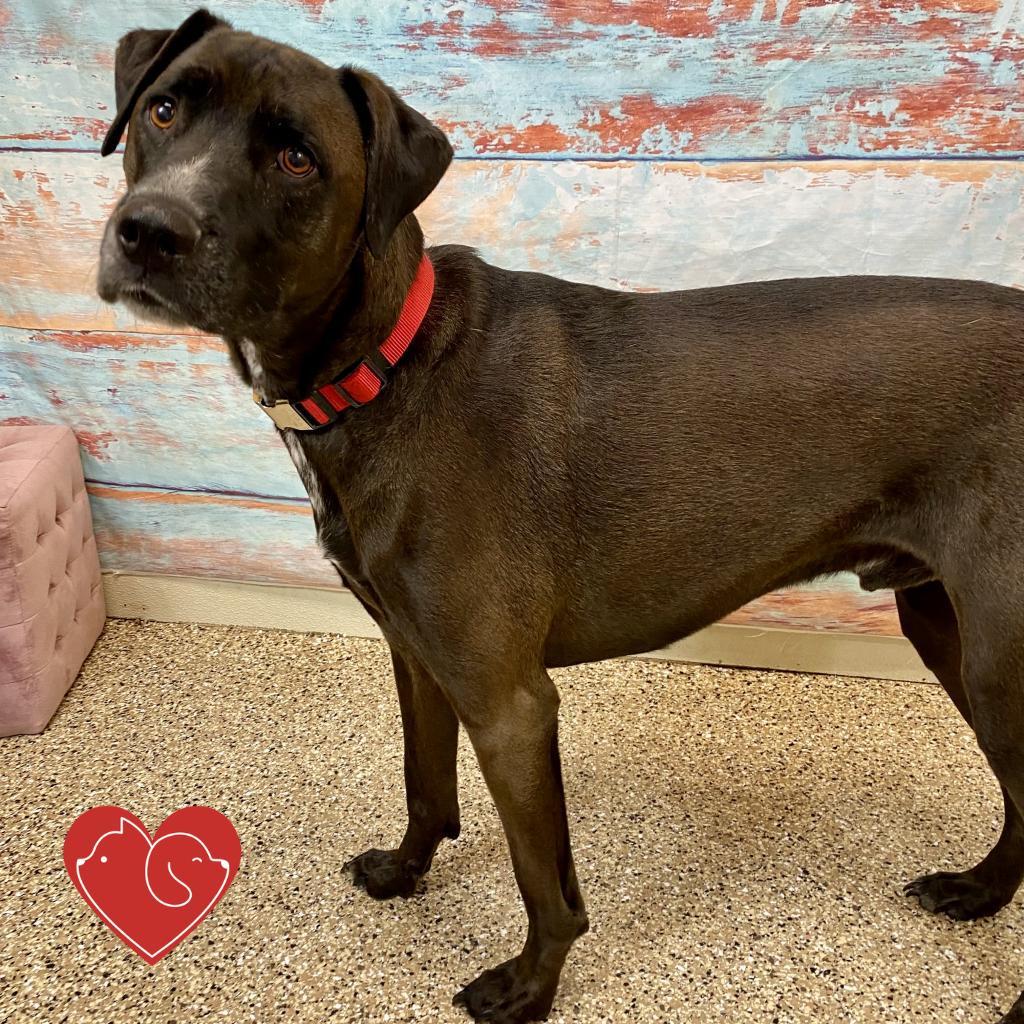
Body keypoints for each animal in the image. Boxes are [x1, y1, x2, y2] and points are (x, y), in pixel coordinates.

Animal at [97, 9, 1024, 1024]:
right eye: (164, 108)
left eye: (298, 158)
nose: (149, 231)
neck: (389, 363)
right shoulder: (418, 655)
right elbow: (426, 788)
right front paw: (405, 874)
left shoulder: (511, 702)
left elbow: (546, 883)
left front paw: (531, 987)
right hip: (949, 630)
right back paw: (980, 892)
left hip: (997, 662)